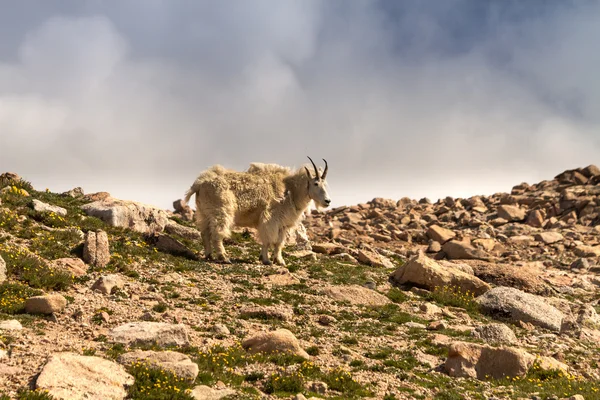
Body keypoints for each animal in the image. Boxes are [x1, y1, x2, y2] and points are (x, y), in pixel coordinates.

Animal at [184, 156, 332, 266]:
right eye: (315, 184)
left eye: (325, 184)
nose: (327, 201)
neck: (291, 191)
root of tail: (199, 183)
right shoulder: (269, 220)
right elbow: (267, 240)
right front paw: (266, 260)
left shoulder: (283, 224)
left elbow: (279, 243)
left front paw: (279, 261)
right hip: (221, 212)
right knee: (217, 234)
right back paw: (224, 257)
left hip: (204, 213)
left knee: (205, 233)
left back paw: (208, 255)